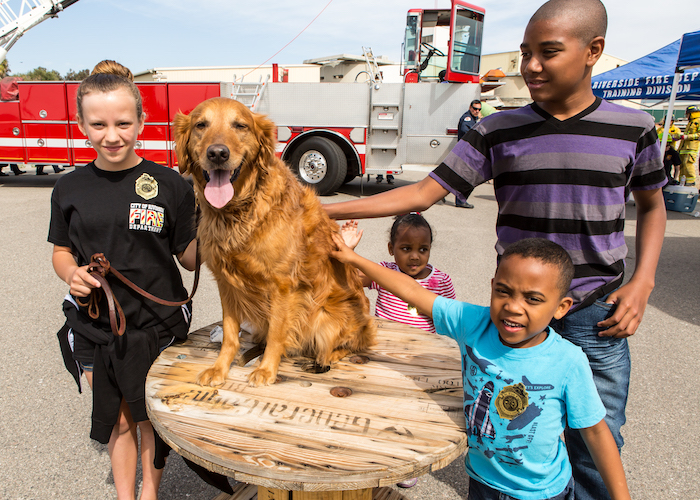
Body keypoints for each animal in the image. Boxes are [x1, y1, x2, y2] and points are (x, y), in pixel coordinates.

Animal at [172, 97, 374, 386]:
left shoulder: (282, 284)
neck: (239, 211)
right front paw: (220, 368)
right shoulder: (225, 282)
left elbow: (278, 333)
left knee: (351, 344)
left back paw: (328, 357)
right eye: (201, 125)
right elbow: (230, 333)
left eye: (240, 125)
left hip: (326, 318)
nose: (218, 154)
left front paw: (267, 369)